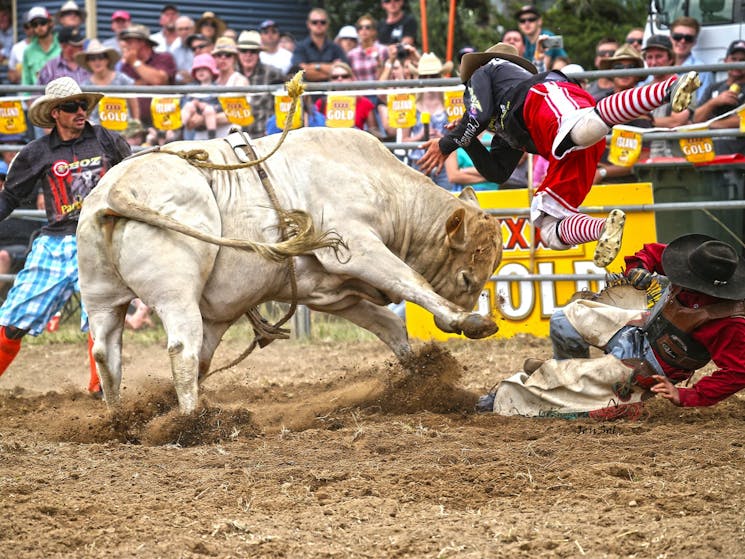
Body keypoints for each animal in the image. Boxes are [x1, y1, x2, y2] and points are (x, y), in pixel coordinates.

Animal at [78, 129, 502, 414]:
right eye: (467, 278)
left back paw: (119, 418)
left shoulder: (328, 292)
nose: (448, 323)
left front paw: (420, 378)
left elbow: (390, 326)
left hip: (101, 296)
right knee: (182, 349)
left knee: (107, 352)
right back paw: (193, 420)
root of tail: (120, 188)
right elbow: (411, 281)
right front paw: (469, 321)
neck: (380, 184)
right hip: (176, 293)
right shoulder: (357, 248)